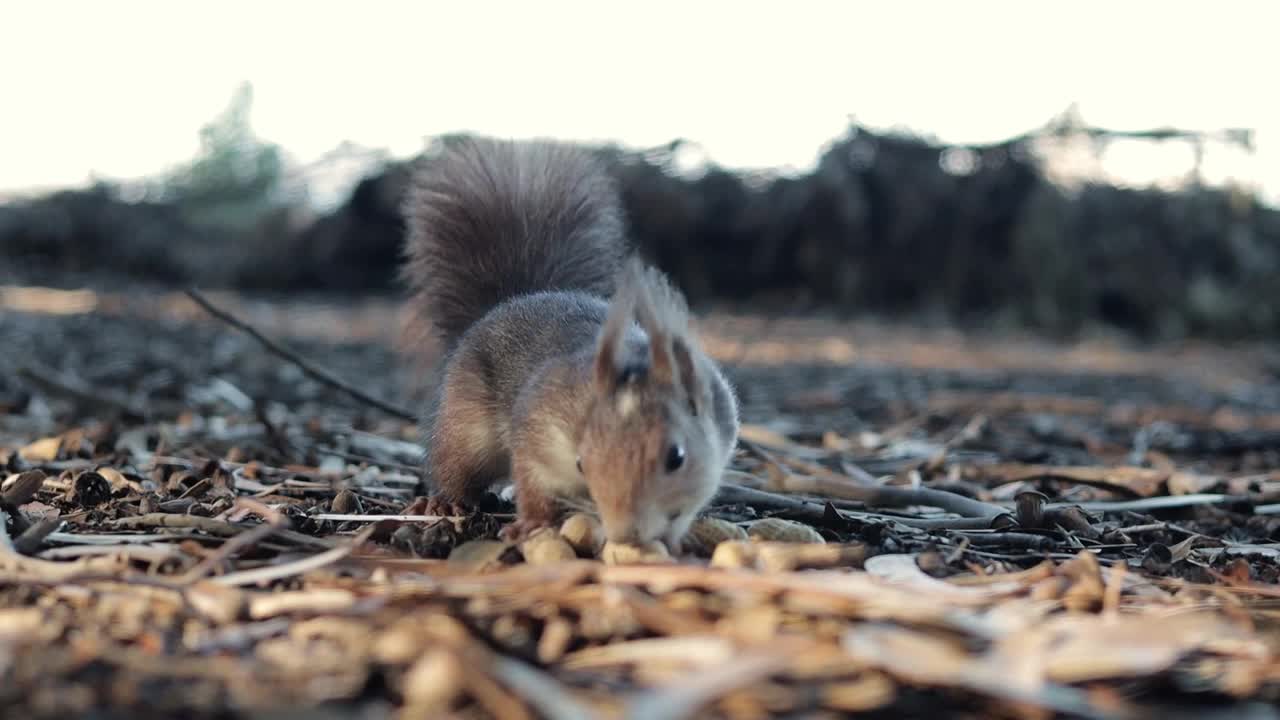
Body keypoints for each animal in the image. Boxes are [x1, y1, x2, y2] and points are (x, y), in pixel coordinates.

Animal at [399, 135, 742, 548]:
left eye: (677, 457)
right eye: (582, 461)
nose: (625, 533)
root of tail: (513, 300)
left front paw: (673, 539)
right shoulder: (539, 427)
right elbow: (532, 477)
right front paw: (532, 523)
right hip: (464, 423)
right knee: (453, 464)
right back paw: (445, 503)